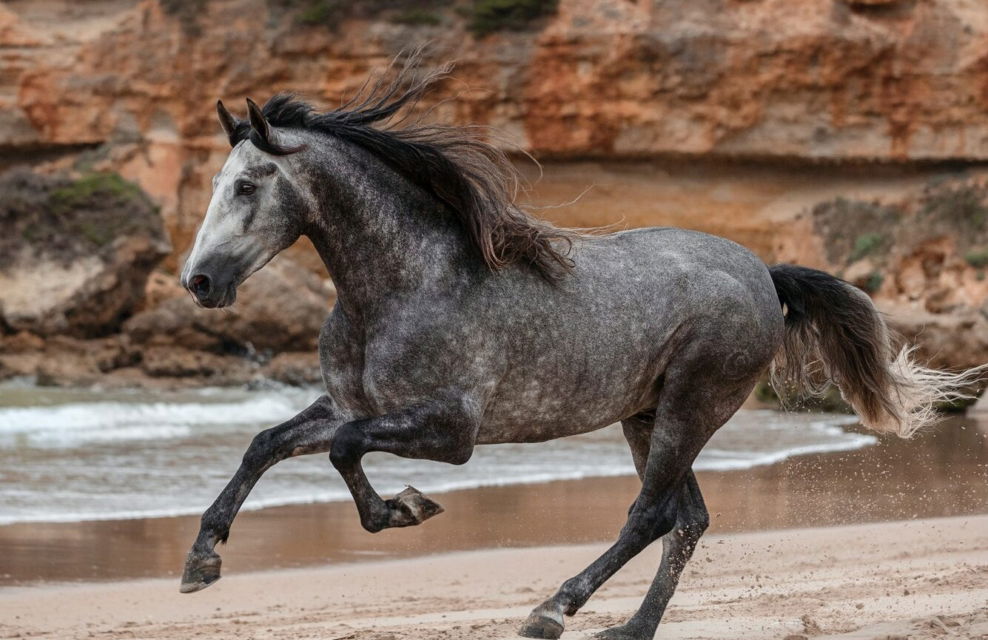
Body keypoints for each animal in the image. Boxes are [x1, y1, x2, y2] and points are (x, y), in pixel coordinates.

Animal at [178, 59, 982, 640]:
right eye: (214, 181)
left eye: (247, 185)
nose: (199, 280)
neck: (404, 283)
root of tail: (764, 272)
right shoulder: (351, 403)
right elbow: (267, 442)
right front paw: (202, 560)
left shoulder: (451, 430)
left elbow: (346, 451)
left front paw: (405, 509)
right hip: (647, 415)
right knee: (687, 519)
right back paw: (629, 630)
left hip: (692, 406)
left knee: (651, 515)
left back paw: (552, 611)